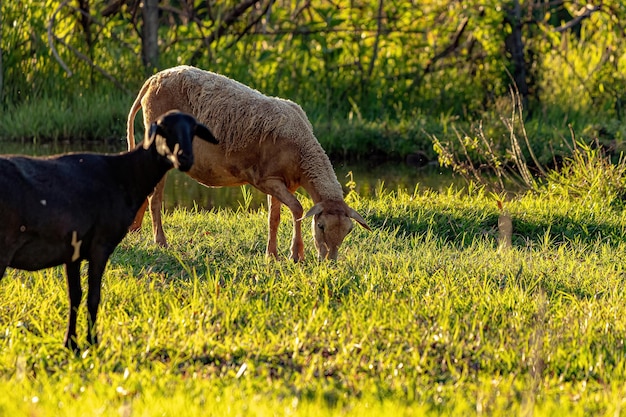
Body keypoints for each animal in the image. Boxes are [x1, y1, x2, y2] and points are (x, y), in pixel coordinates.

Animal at [128, 65, 370, 260]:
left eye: (349, 230)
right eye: (320, 226)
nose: (330, 261)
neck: (303, 151)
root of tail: (153, 79)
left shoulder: (282, 182)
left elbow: (274, 218)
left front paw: (272, 255)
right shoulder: (265, 179)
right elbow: (297, 209)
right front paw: (296, 254)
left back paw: (134, 229)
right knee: (155, 197)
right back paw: (160, 241)